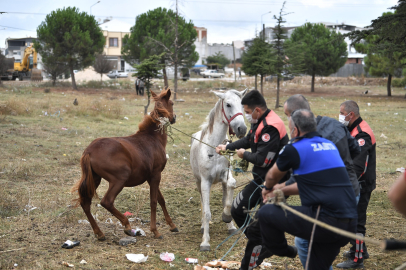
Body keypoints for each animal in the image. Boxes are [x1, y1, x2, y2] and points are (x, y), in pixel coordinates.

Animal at [71, 88, 178, 240]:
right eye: (172, 103)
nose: (174, 118)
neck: (152, 137)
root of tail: (89, 150)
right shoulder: (156, 175)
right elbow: (153, 201)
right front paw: (155, 231)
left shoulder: (151, 177)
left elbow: (161, 199)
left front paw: (172, 225)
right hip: (119, 179)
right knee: (106, 201)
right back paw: (126, 225)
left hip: (95, 179)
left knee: (85, 203)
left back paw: (99, 233)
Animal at [190, 89, 247, 251]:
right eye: (228, 104)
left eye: (242, 104)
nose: (242, 129)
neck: (213, 148)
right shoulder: (205, 182)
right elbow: (207, 212)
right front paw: (205, 242)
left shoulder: (225, 176)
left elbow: (231, 188)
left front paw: (227, 217)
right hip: (198, 182)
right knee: (202, 202)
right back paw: (203, 226)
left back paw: (230, 226)